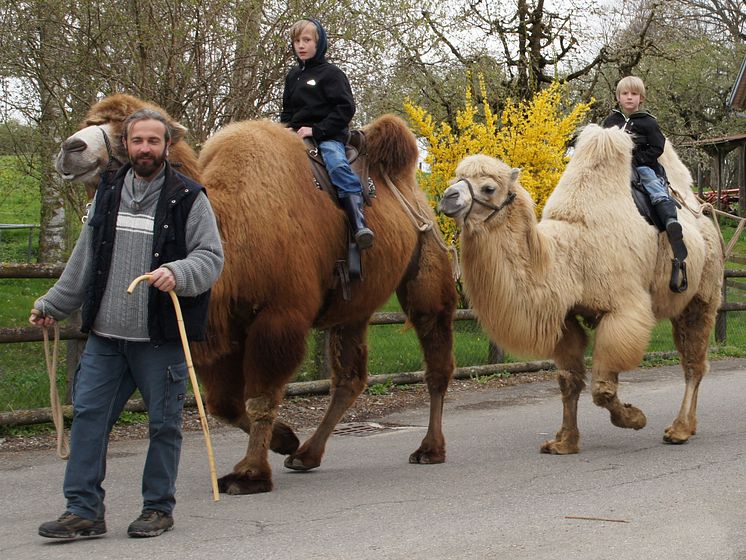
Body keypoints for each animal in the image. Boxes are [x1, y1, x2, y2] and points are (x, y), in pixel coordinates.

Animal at [56, 95, 454, 494]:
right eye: (91, 121)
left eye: (129, 132)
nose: (70, 149)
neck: (232, 231)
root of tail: (415, 189)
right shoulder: (219, 327)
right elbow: (224, 404)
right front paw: (285, 439)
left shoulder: (278, 317)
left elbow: (259, 397)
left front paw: (249, 473)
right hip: (352, 307)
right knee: (349, 377)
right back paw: (307, 454)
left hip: (426, 263)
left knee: (435, 354)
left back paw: (430, 449)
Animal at [436, 123, 720, 456]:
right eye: (455, 178)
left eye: (489, 188)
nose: (448, 197)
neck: (569, 255)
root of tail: (704, 216)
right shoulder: (566, 317)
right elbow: (568, 381)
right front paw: (564, 442)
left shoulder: (623, 310)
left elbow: (602, 389)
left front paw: (634, 418)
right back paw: (689, 426)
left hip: (703, 295)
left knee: (693, 362)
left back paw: (679, 430)